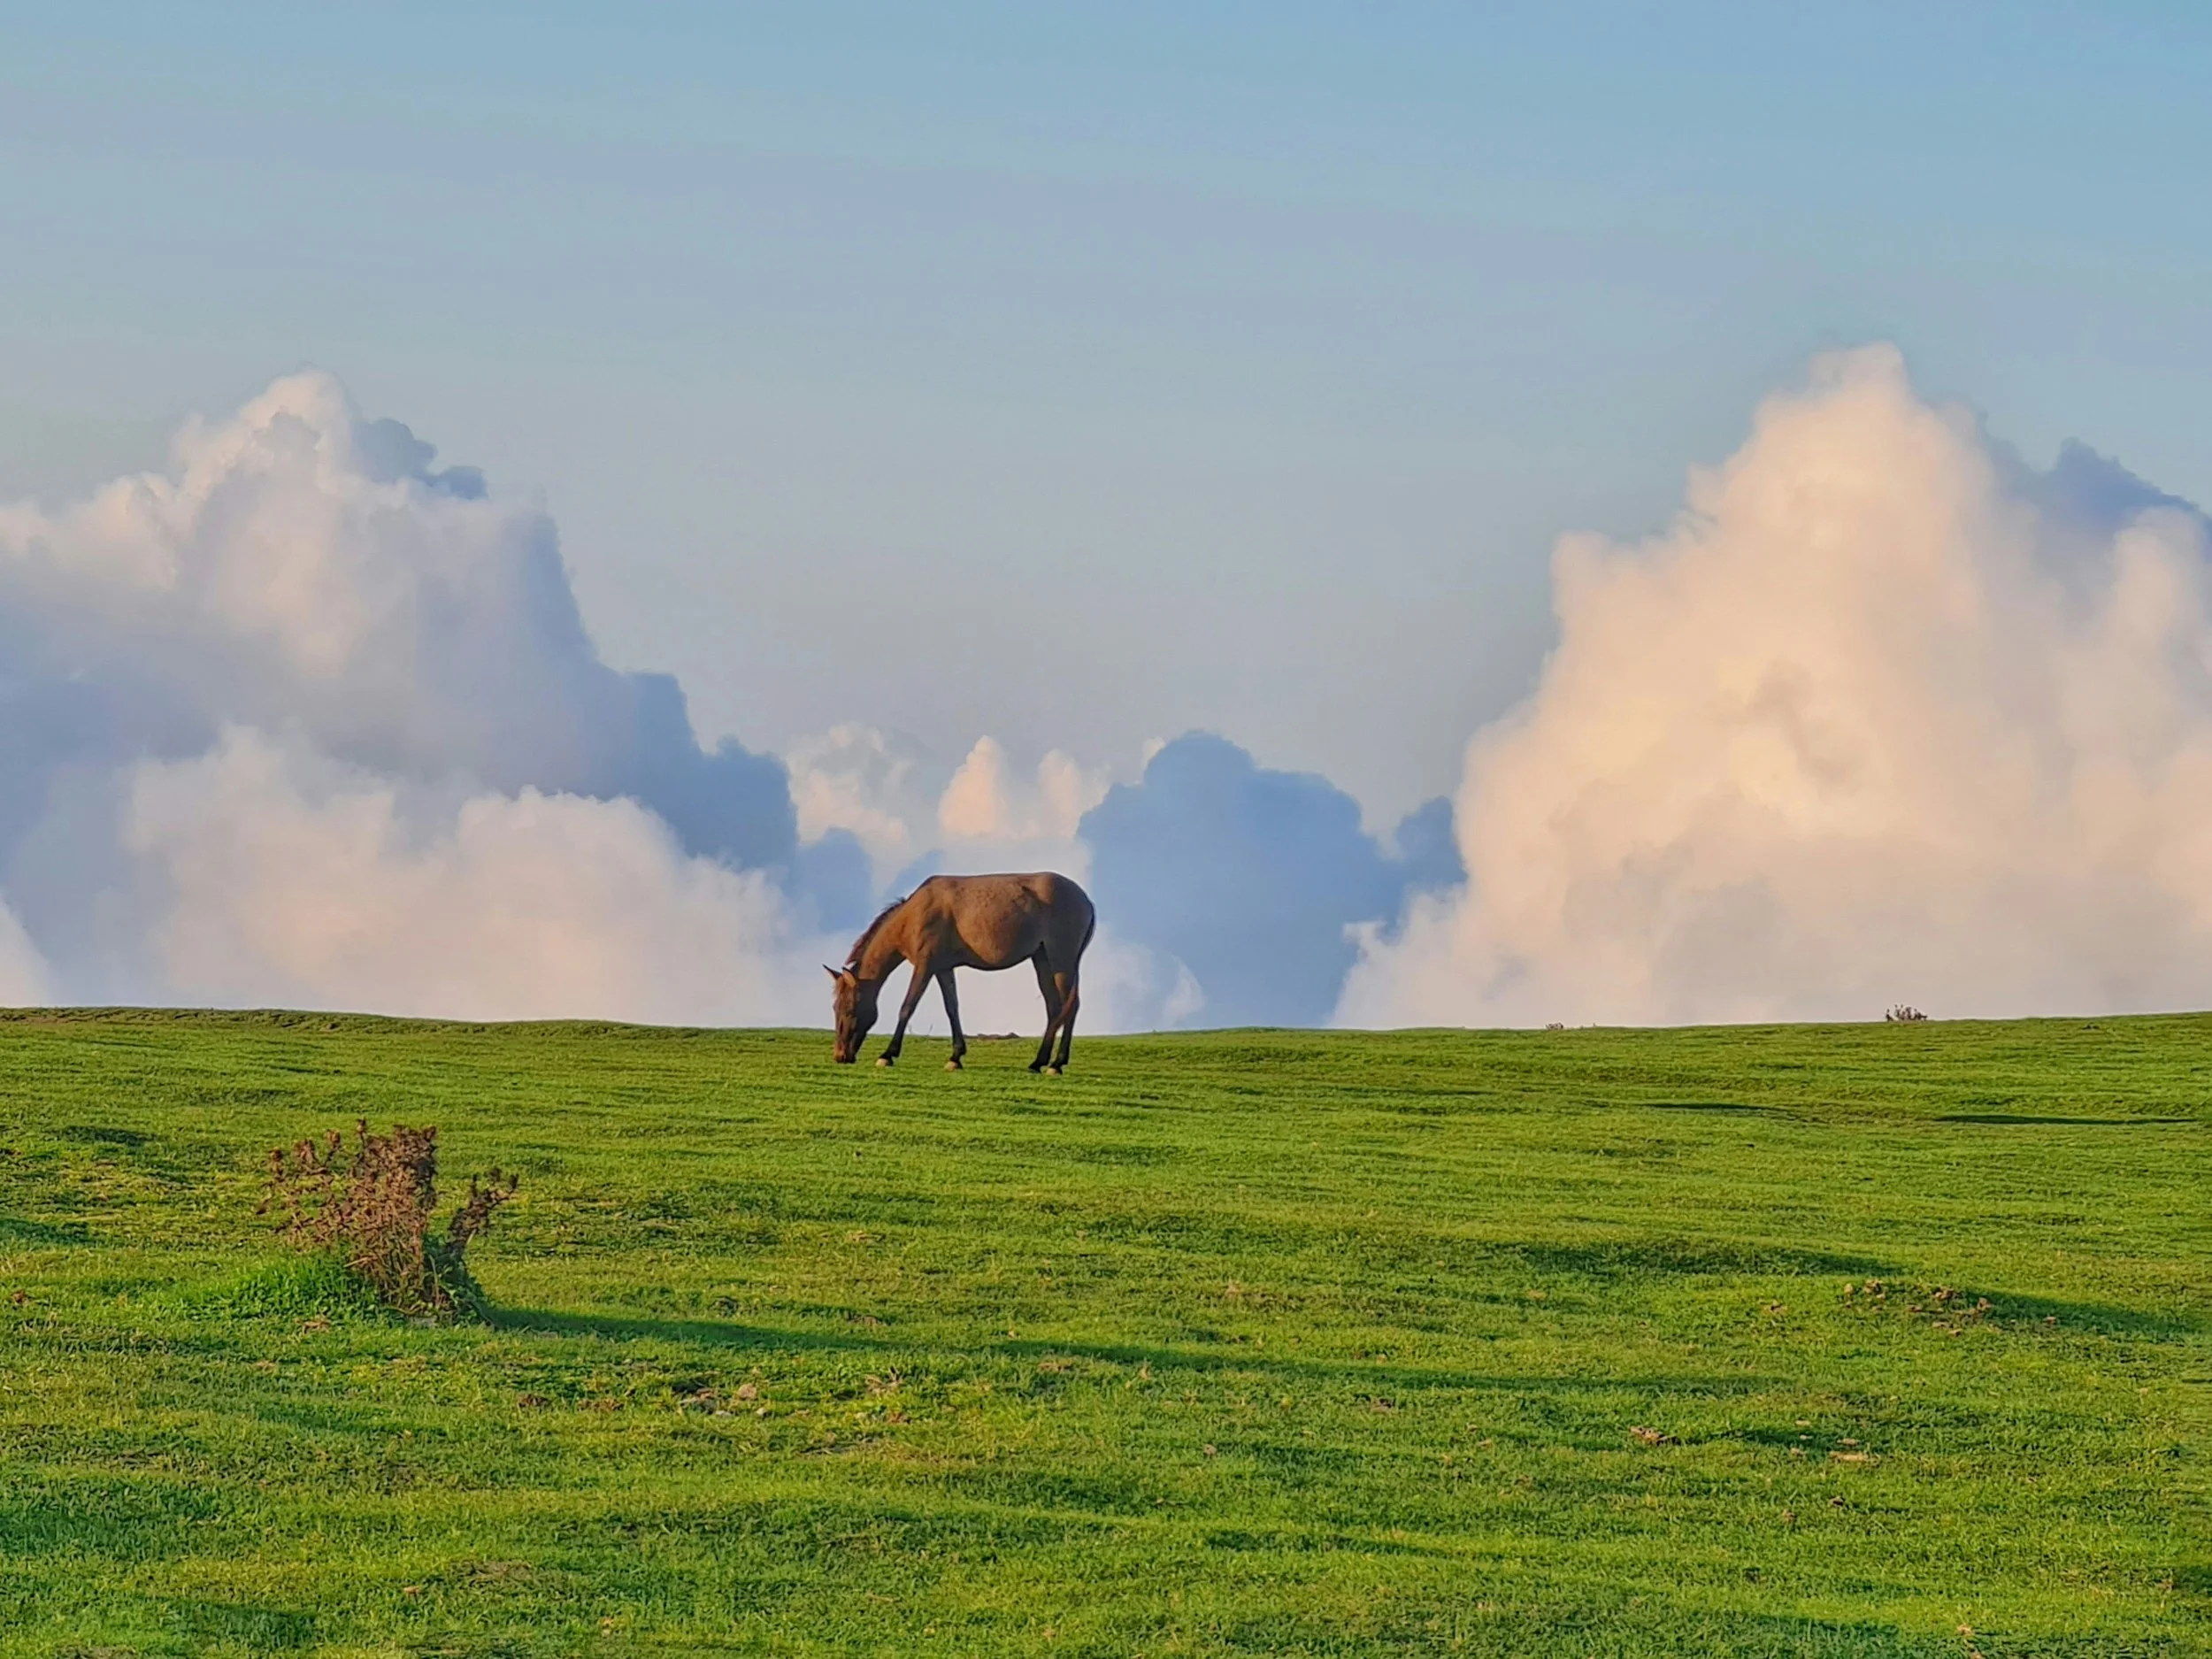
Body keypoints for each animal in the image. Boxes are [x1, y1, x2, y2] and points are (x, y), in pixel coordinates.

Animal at [827, 872, 1095, 1073]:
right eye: (835, 1008)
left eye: (849, 1009)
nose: (840, 1055)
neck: (914, 915)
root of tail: (1086, 900)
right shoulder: (943, 968)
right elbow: (952, 1008)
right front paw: (955, 1057)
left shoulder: (925, 966)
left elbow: (908, 1006)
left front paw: (888, 1054)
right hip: (1042, 960)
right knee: (1054, 1007)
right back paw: (1038, 1062)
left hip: (1061, 959)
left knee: (1071, 1005)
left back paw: (1056, 1064)